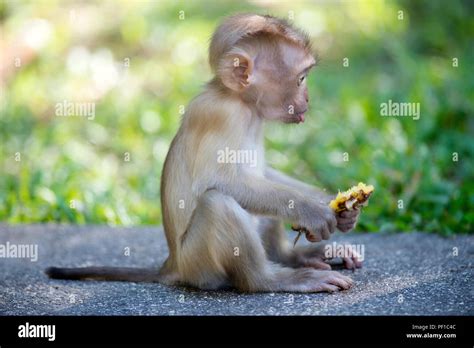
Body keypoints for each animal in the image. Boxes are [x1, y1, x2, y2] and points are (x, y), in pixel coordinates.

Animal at [47, 12, 360, 290]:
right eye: (301, 79)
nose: (308, 99)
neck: (241, 103)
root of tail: (173, 264)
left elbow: (261, 174)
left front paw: (333, 203)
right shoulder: (222, 115)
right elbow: (218, 181)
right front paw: (311, 210)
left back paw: (292, 257)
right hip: (198, 263)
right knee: (217, 203)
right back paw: (271, 279)